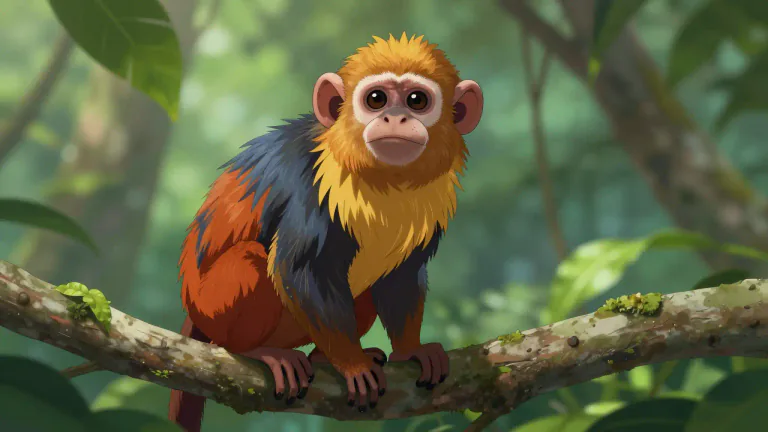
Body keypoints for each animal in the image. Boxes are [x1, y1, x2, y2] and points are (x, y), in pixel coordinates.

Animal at [168, 33, 483, 432]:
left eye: (417, 100)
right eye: (376, 99)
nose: (395, 118)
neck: (385, 182)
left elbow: (402, 276)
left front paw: (410, 349)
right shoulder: (310, 184)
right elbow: (297, 268)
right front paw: (352, 364)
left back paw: (320, 358)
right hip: (210, 307)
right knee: (249, 260)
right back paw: (253, 350)